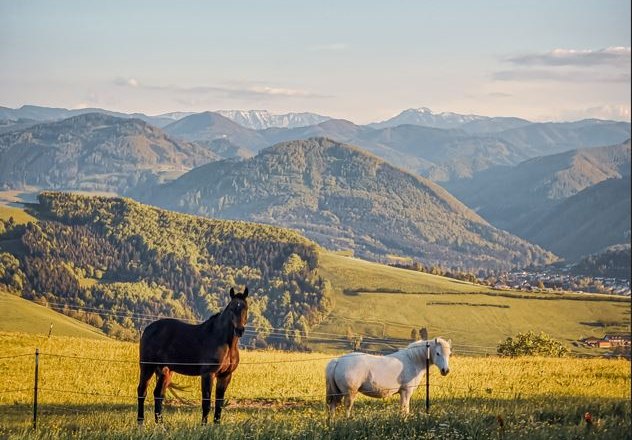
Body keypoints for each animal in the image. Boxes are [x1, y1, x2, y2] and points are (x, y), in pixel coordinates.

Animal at [137, 288, 248, 424]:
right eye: (232, 308)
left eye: (245, 308)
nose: (239, 330)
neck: (225, 342)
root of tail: (148, 329)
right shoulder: (208, 374)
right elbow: (206, 403)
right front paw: (204, 425)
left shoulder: (225, 376)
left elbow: (219, 404)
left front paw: (216, 425)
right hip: (147, 367)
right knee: (142, 391)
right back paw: (140, 422)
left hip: (165, 370)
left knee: (158, 394)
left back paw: (160, 424)